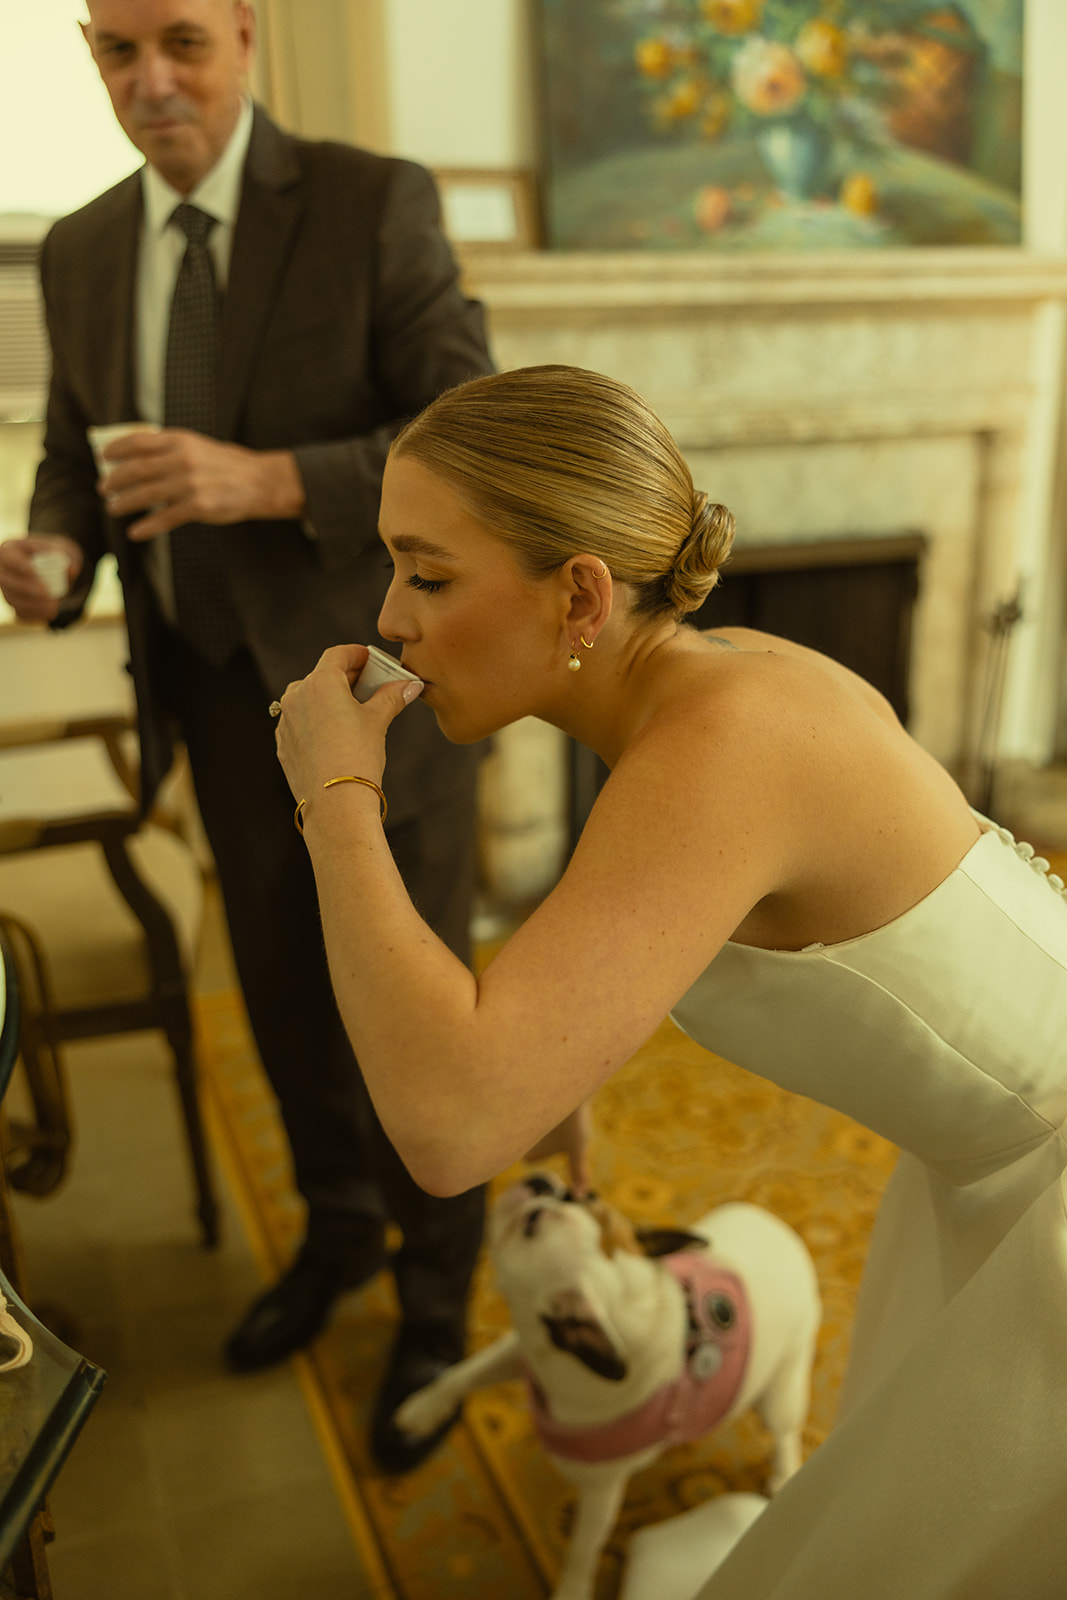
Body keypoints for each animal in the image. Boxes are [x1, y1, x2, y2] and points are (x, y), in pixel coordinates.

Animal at [396, 1171, 825, 1593]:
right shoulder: (522, 1350)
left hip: (781, 1387)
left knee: (784, 1430)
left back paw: (784, 1473)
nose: (541, 1182)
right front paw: (421, 1410)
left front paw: (572, 1589)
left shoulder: (600, 1493)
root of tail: (789, 1239)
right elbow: (465, 1373)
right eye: (585, 1195)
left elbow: (584, 1547)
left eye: (533, 1224)